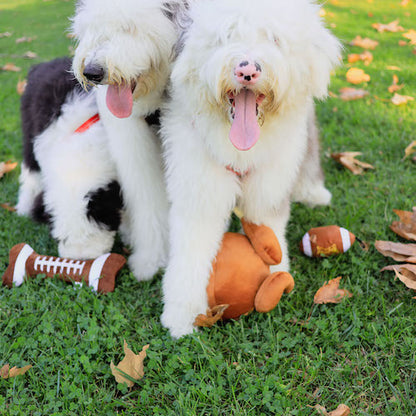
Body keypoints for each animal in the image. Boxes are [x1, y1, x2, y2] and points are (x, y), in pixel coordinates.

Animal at [160, 0, 342, 338]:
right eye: (225, 37)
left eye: (274, 39)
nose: (247, 70)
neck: (241, 149)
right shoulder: (200, 191)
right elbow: (191, 251)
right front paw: (181, 315)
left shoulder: (268, 186)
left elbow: (268, 227)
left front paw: (276, 275)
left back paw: (315, 192)